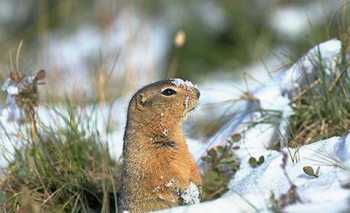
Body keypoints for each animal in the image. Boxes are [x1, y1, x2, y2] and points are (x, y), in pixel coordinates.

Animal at [119, 78, 202, 213]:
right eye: (168, 91)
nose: (198, 92)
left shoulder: (185, 149)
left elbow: (191, 164)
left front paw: (198, 185)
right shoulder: (151, 157)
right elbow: (167, 174)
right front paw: (186, 188)